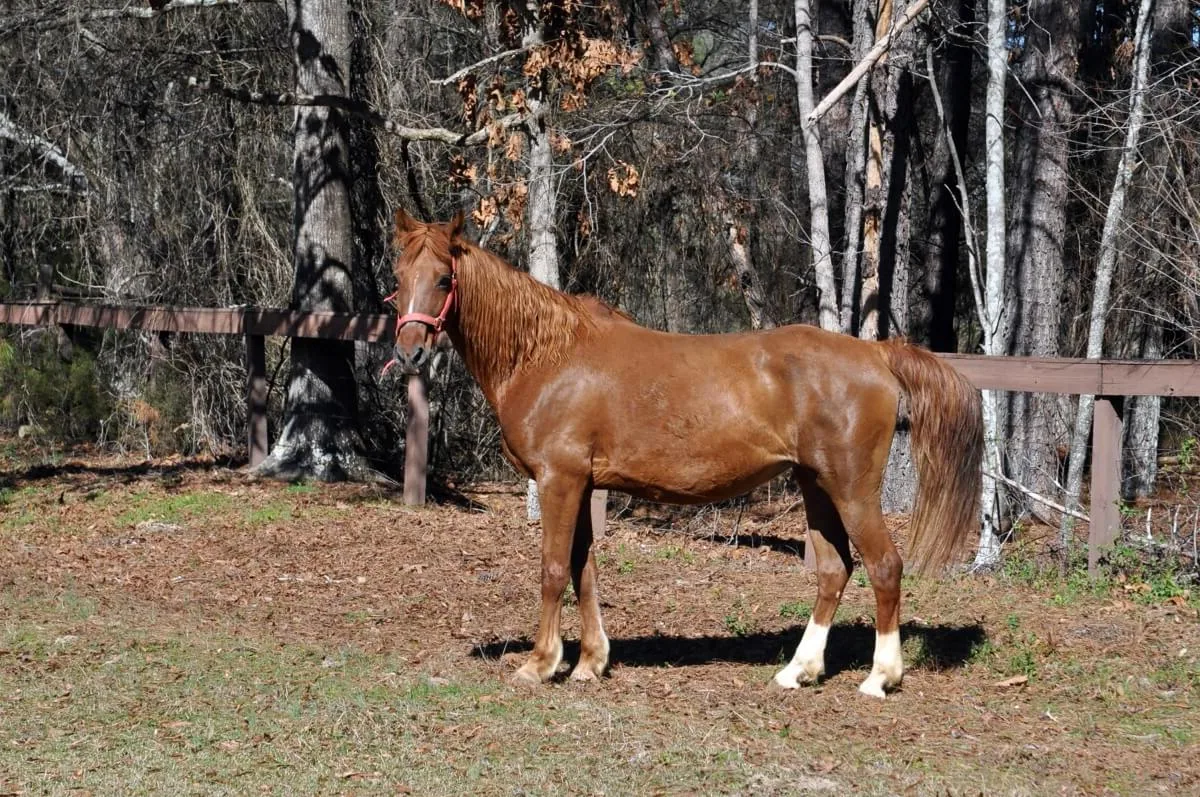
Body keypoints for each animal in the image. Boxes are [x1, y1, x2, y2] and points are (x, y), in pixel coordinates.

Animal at [386, 209, 983, 698]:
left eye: (444, 278)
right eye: (399, 278)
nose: (408, 352)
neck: (547, 354)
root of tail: (875, 353)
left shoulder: (560, 480)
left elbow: (554, 569)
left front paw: (540, 664)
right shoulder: (584, 484)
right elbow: (585, 570)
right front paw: (591, 663)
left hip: (852, 488)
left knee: (885, 566)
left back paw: (881, 677)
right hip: (815, 485)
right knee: (835, 571)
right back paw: (798, 670)